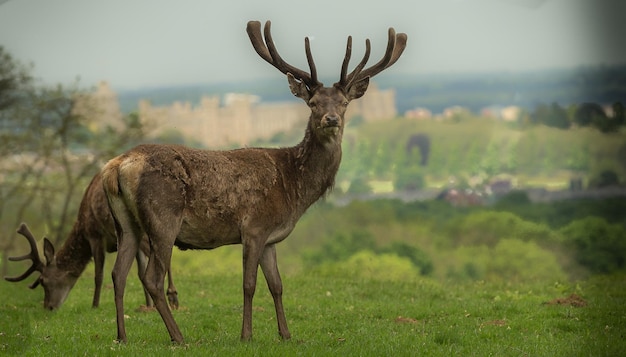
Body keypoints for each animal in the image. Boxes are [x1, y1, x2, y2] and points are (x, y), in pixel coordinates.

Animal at [4, 172, 179, 308]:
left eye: (43, 281)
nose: (49, 307)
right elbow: (140, 270)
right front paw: (149, 305)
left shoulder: (95, 235)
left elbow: (98, 275)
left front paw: (95, 304)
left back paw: (173, 296)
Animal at [102, 19, 404, 342]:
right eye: (312, 103)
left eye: (344, 102)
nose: (331, 119)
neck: (293, 187)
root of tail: (116, 166)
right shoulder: (254, 228)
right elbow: (249, 284)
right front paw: (246, 334)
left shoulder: (271, 238)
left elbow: (277, 285)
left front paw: (285, 334)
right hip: (162, 218)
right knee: (152, 278)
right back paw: (179, 338)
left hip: (126, 223)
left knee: (118, 274)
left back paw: (121, 336)